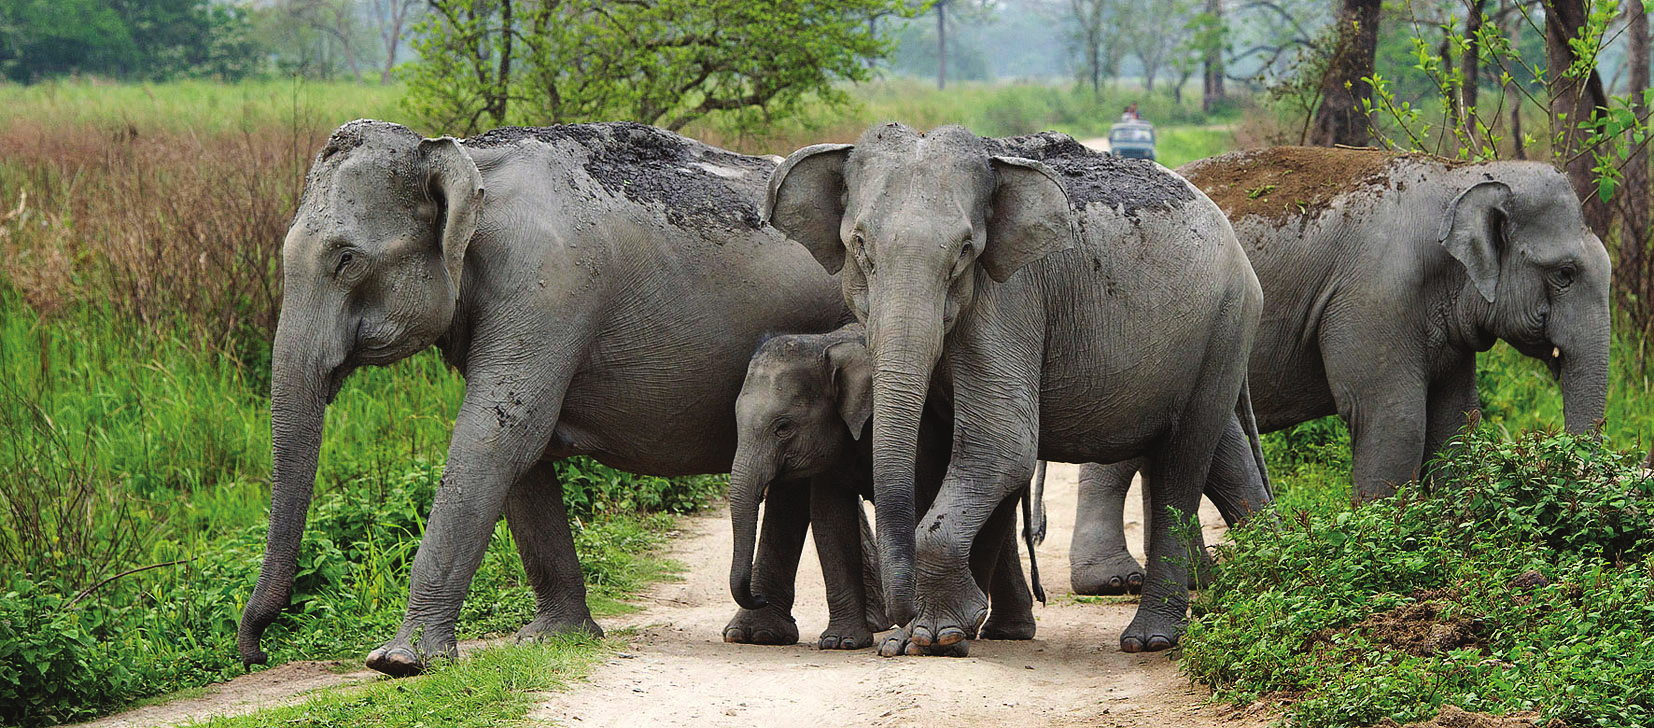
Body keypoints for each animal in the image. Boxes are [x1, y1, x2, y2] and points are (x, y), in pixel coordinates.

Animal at [236, 120, 853, 678]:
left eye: (346, 260)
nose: (255, 654)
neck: (470, 159)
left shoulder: (548, 286)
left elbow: (498, 435)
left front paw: (399, 662)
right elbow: (521, 453)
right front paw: (553, 638)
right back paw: (758, 633)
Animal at [727, 324, 1038, 655]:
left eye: (783, 427)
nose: (758, 598)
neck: (824, 344)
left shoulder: (920, 435)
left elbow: (920, 503)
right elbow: (830, 520)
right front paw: (841, 642)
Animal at [760, 124, 1263, 655]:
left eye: (965, 250)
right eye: (860, 244)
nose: (897, 617)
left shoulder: (1010, 297)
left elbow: (1002, 443)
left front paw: (934, 635)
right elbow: (936, 454)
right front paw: (923, 637)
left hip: (1227, 325)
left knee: (1183, 463)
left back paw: (1150, 640)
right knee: (1217, 449)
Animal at [1065, 144, 1607, 595]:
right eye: (1564, 274)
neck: (1462, 174)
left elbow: (1456, 424)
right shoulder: (1374, 297)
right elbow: (1394, 420)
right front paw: (1386, 556)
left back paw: (1199, 579)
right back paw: (1113, 581)